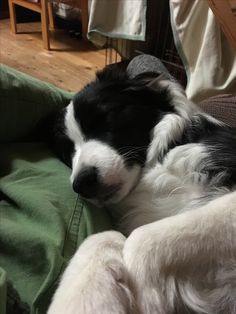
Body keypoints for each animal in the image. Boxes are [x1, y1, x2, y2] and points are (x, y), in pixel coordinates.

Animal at [47, 62, 236, 314]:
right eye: (68, 151)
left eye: (104, 118)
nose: (83, 182)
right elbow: (100, 237)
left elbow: (142, 238)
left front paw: (149, 297)